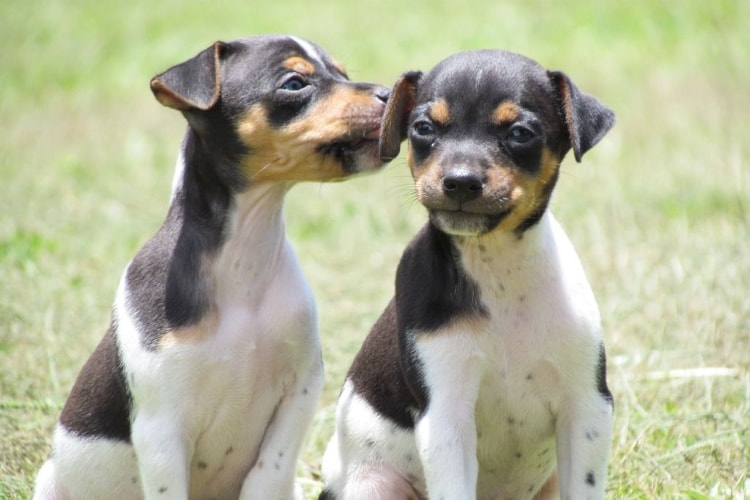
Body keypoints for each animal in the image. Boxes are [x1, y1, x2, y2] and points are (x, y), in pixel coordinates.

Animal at [33, 36, 390, 500]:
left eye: (343, 74)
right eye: (295, 83)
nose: (389, 93)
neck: (244, 263)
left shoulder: (302, 387)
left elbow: (268, 474)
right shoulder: (160, 429)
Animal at [322, 50, 616, 500]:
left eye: (520, 133)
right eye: (424, 129)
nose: (460, 182)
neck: (498, 269)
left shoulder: (587, 406)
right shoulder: (445, 415)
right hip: (373, 486)